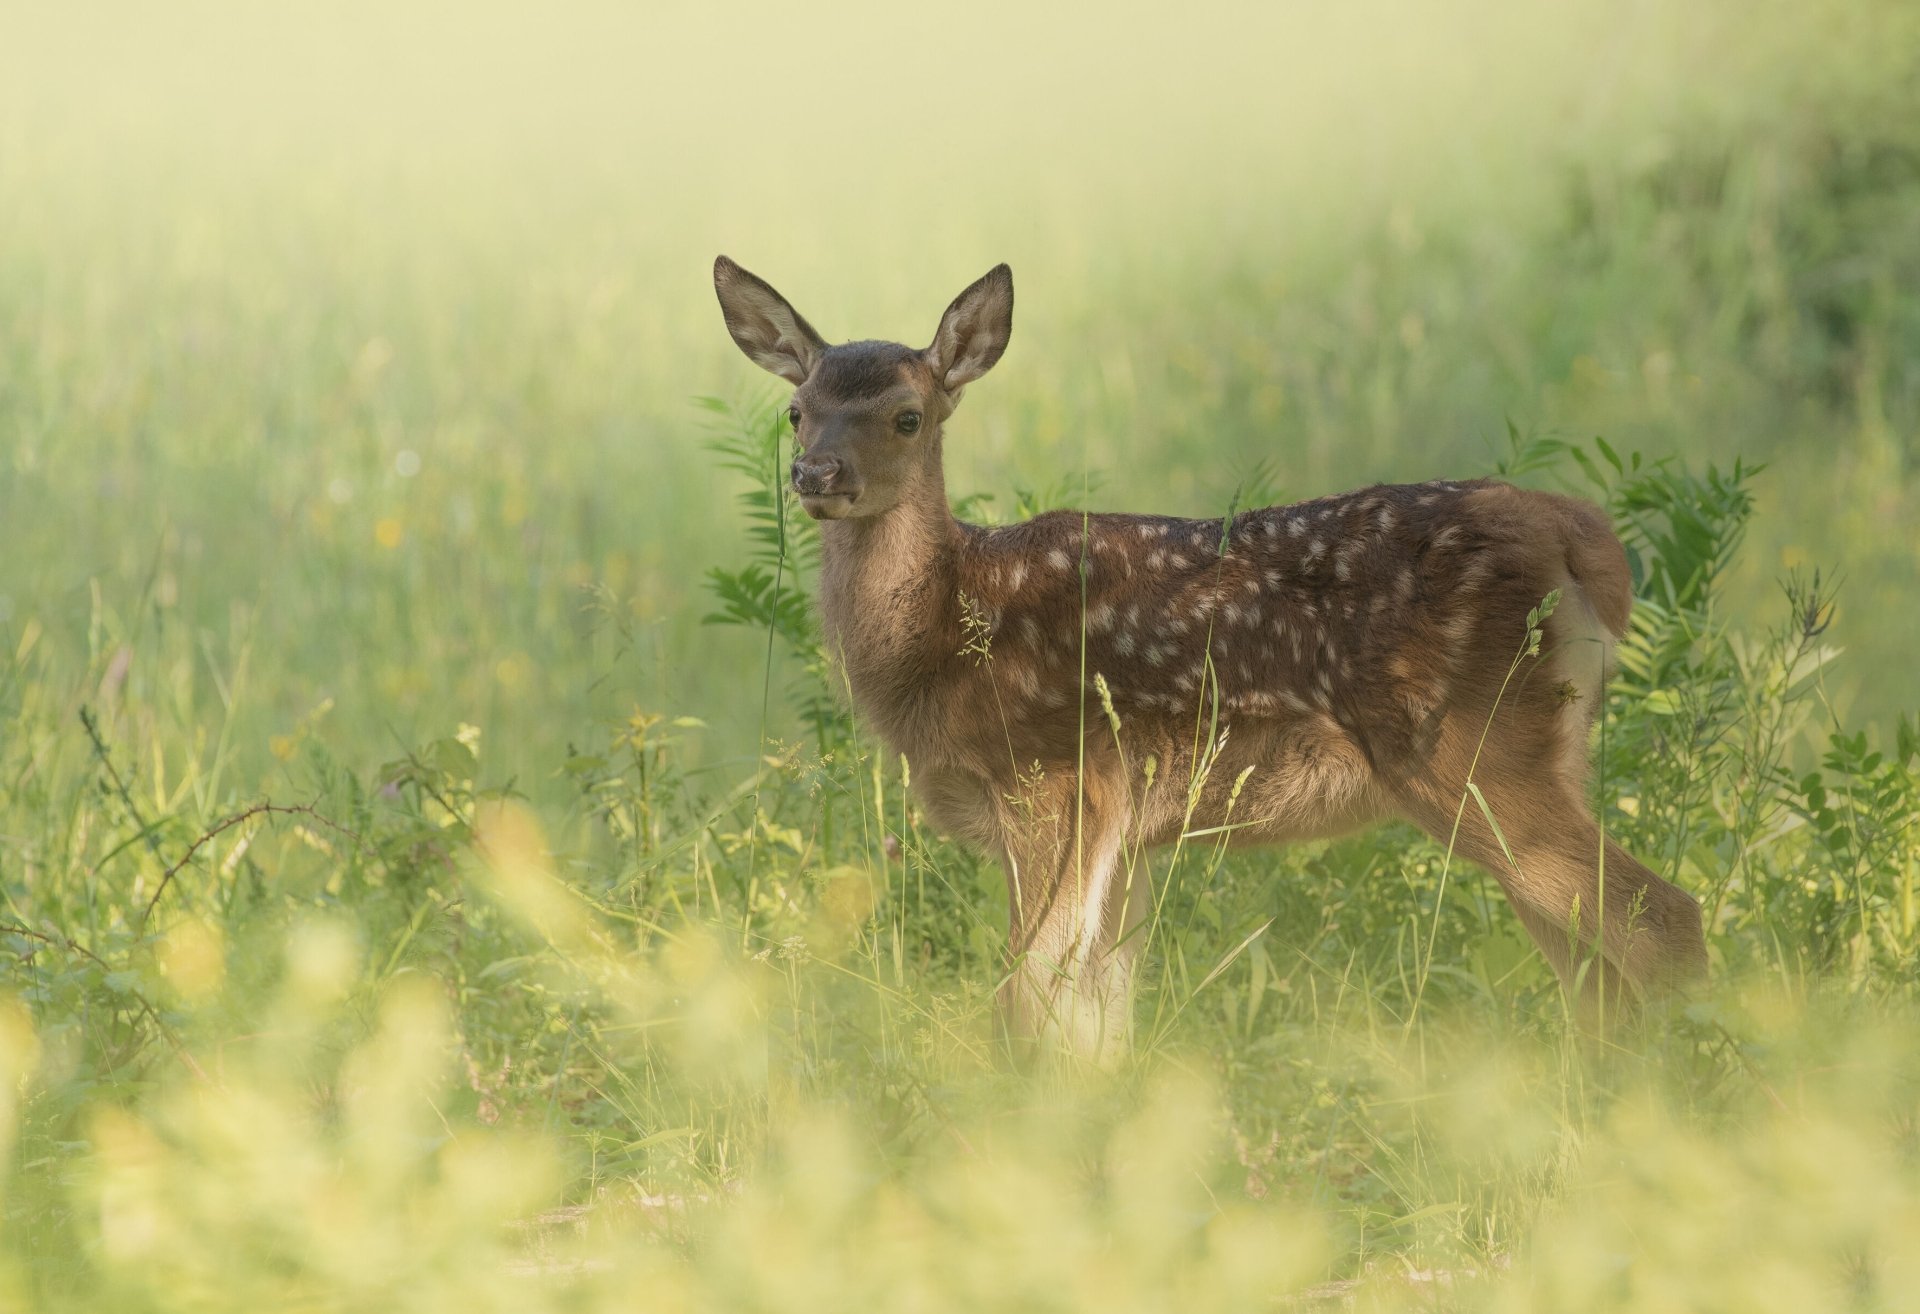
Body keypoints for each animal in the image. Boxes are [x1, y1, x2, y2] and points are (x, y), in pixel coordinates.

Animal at [712, 255, 1709, 1060]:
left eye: (908, 417)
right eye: (796, 412)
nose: (817, 475)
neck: (943, 635)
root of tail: (1580, 534)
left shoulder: (1057, 785)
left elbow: (1025, 999)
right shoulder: (1127, 830)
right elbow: (1098, 1012)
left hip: (1472, 745)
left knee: (1663, 922)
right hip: (1540, 755)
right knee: (1593, 967)